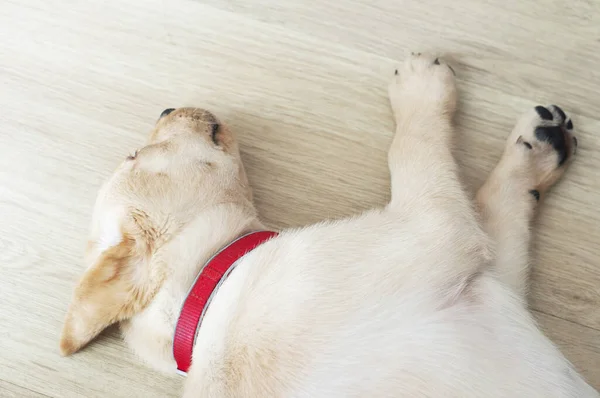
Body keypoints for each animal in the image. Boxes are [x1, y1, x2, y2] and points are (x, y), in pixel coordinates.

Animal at [58, 53, 596, 398]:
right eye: (134, 155)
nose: (167, 106)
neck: (204, 289)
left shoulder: (487, 274)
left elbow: (500, 202)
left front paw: (536, 152)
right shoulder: (433, 226)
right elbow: (414, 150)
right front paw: (421, 91)